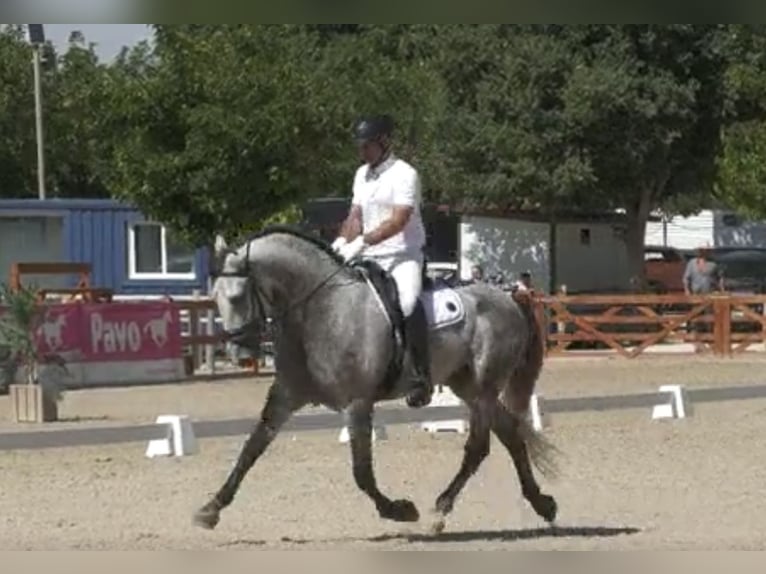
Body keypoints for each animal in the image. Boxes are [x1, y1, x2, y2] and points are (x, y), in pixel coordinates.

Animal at [195, 224, 560, 536]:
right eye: (215, 297)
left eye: (238, 296)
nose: (240, 352)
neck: (320, 309)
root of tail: (507, 296)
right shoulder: (286, 395)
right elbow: (251, 448)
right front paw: (211, 508)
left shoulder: (357, 403)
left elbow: (361, 471)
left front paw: (399, 510)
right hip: (467, 386)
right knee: (511, 435)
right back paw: (542, 504)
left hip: (483, 387)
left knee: (479, 447)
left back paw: (441, 510)